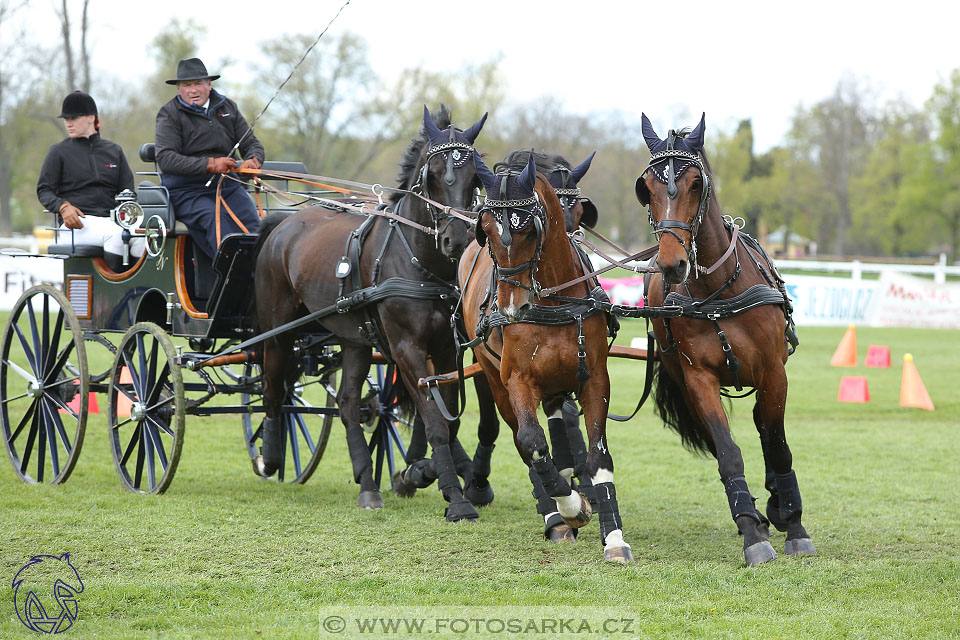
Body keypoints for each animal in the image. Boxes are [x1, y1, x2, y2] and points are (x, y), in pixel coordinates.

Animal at [253, 105, 488, 520]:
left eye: (475, 176)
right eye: (432, 174)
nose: (457, 240)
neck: (417, 261)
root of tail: (284, 222)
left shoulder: (445, 349)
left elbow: (448, 420)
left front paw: (419, 474)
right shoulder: (407, 350)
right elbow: (435, 422)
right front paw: (456, 499)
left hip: (355, 340)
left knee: (347, 403)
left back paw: (367, 483)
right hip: (278, 331)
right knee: (273, 389)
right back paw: (270, 457)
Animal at [458, 150, 632, 560]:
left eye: (528, 229)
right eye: (486, 229)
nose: (510, 309)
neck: (553, 300)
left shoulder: (594, 378)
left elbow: (597, 455)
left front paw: (614, 536)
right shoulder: (518, 380)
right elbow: (533, 443)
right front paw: (570, 508)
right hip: (495, 380)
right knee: (524, 441)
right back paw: (555, 515)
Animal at [632, 114, 812, 564]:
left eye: (696, 183)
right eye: (648, 187)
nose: (672, 264)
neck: (718, 293)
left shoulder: (774, 373)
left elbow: (776, 445)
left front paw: (794, 523)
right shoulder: (699, 380)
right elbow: (728, 453)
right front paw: (752, 533)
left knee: (766, 429)